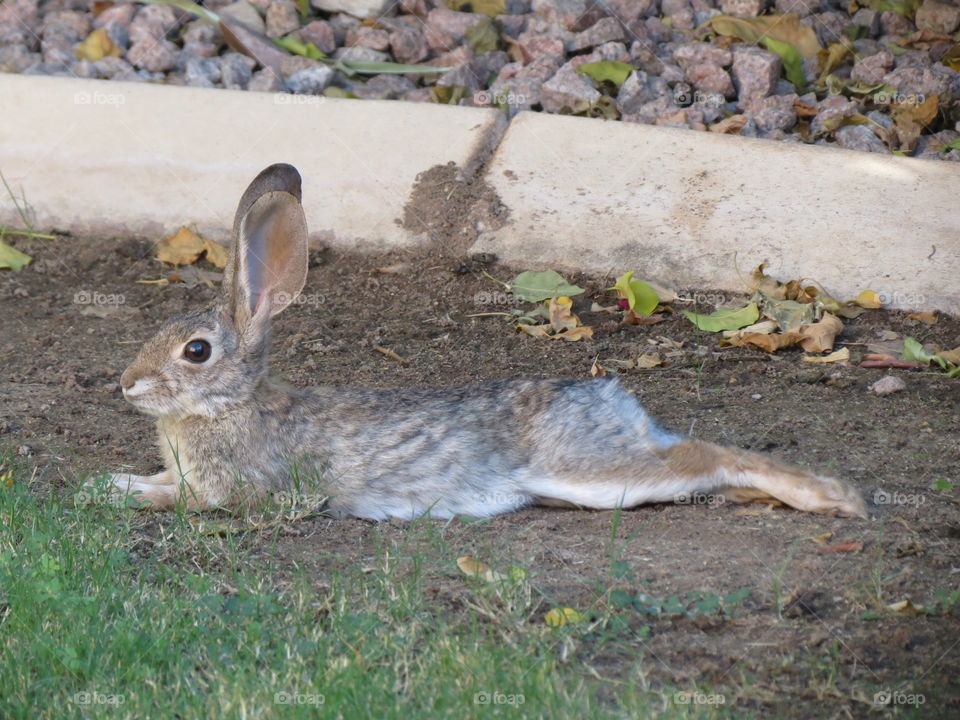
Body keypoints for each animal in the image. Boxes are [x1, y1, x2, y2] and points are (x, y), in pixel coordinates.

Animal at [97, 165, 872, 520]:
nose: (126, 384)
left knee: (704, 457)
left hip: (581, 471)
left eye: (196, 351)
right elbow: (161, 482)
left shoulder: (237, 492)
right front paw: (115, 482)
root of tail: (613, 401)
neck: (232, 406)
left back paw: (834, 500)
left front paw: (113, 494)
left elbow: (184, 501)